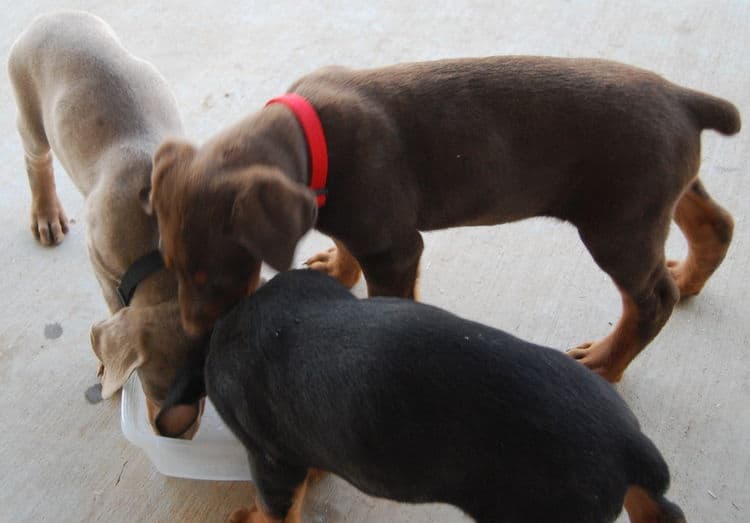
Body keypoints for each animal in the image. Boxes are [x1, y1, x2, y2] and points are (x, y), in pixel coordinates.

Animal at [148, 56, 740, 380]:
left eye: (212, 277)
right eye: (170, 267)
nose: (195, 336)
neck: (311, 137)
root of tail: (683, 99)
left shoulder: (393, 245)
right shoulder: (359, 224)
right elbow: (347, 246)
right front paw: (337, 268)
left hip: (618, 225)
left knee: (651, 301)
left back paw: (606, 362)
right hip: (659, 196)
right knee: (715, 223)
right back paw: (691, 277)